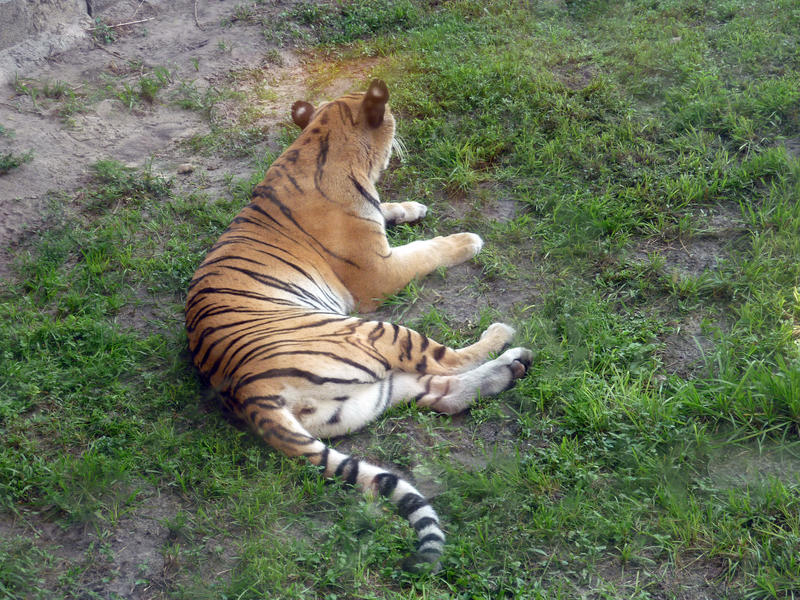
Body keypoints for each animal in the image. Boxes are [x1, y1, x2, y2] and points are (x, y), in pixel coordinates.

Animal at [185, 79, 536, 572]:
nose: (399, 124)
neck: (318, 142)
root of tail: (247, 392)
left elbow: (392, 213)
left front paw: (410, 206)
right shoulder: (380, 273)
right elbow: (427, 251)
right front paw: (465, 240)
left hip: (367, 396)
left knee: (442, 395)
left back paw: (512, 368)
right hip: (371, 332)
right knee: (445, 361)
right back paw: (503, 337)